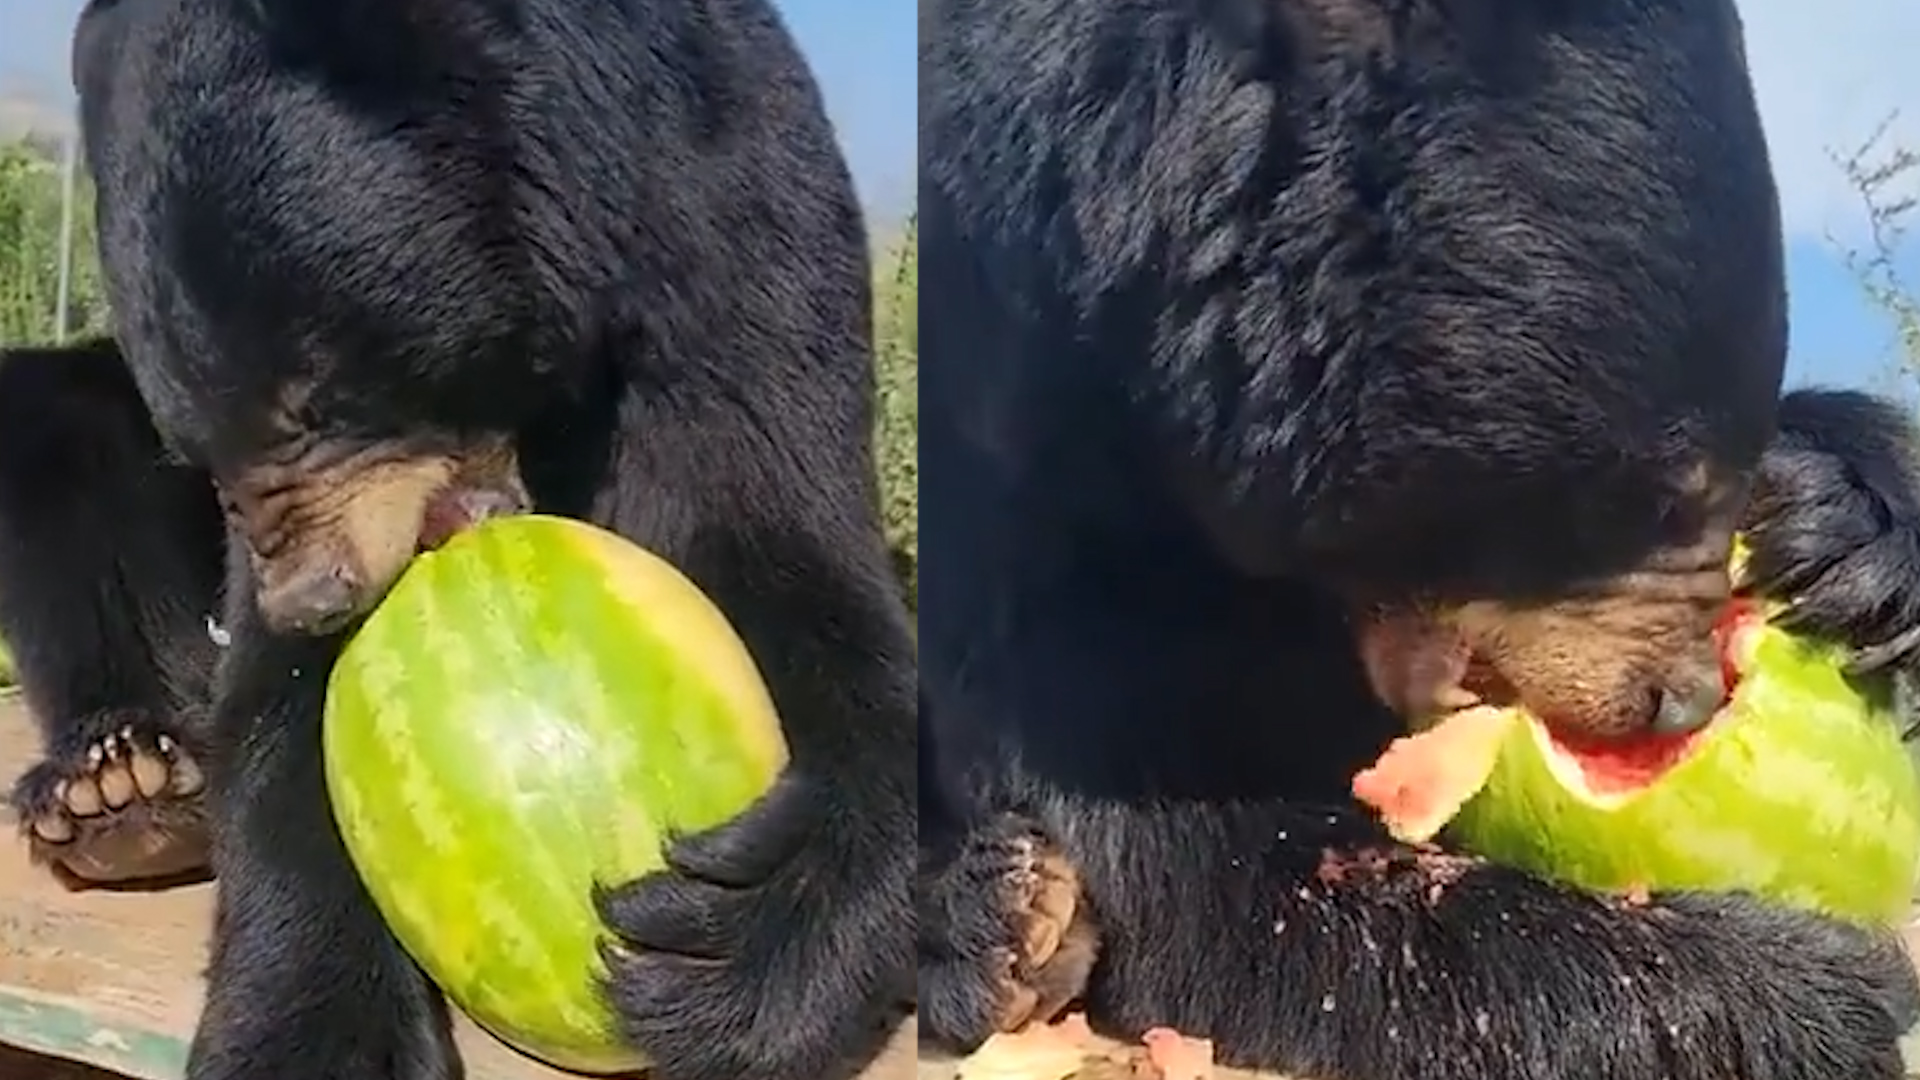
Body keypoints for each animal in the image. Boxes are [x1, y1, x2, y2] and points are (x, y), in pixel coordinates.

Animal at [0, 2, 913, 1076]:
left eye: (312, 400)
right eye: (208, 458)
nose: (315, 599)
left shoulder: (725, 208)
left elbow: (783, 541)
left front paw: (747, 937)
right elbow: (281, 710)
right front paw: (310, 1035)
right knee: (49, 432)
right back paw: (118, 788)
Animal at [913, 0, 1920, 1068]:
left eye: (1722, 477)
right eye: (1662, 490)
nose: (1683, 702)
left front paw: (1849, 530)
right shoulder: (1031, 472)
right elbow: (1200, 853)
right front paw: (1814, 982)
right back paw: (993, 925)